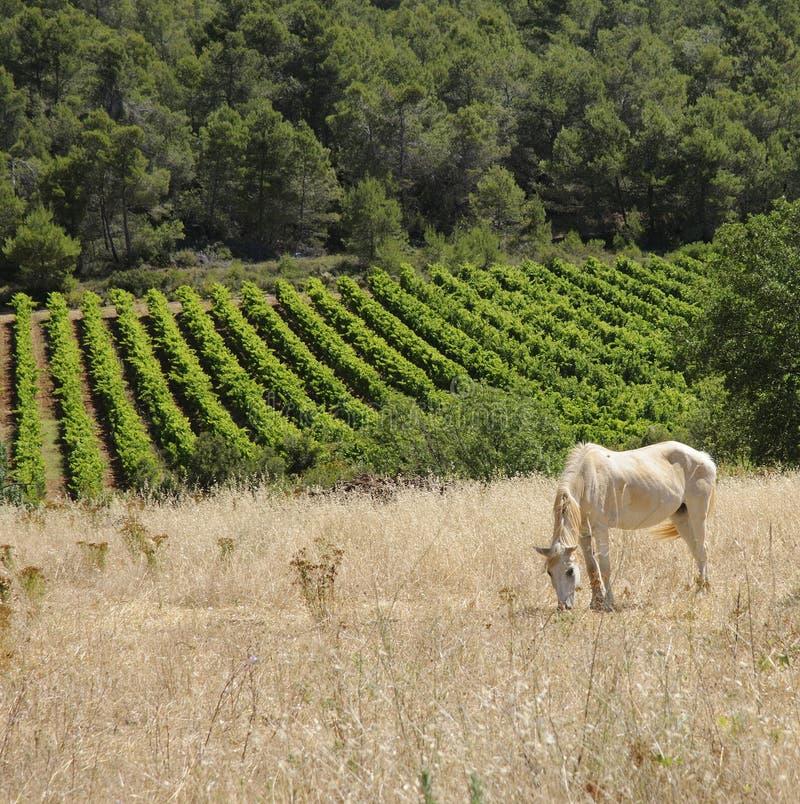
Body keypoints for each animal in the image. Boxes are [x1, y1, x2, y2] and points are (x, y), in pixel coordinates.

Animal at [536, 440, 720, 608]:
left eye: (570, 571)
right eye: (550, 572)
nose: (563, 606)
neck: (587, 480)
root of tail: (704, 458)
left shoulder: (600, 529)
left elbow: (605, 566)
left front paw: (608, 603)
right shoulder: (583, 534)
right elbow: (591, 567)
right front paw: (596, 602)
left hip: (697, 515)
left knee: (703, 550)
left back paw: (703, 591)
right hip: (681, 517)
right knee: (696, 551)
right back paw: (700, 587)